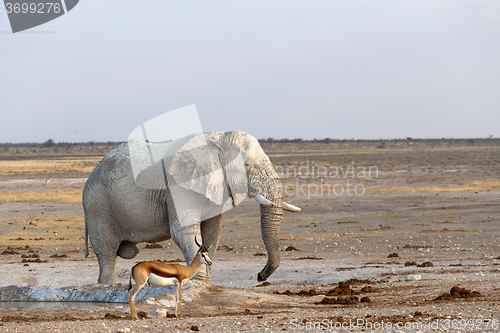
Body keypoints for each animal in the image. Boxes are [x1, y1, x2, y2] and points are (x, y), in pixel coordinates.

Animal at [83, 131, 300, 284]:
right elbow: (184, 232)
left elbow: (212, 234)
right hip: (97, 206)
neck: (219, 138)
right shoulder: (178, 186)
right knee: (107, 254)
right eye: (247, 166)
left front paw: (204, 286)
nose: (259, 276)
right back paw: (106, 288)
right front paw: (196, 284)